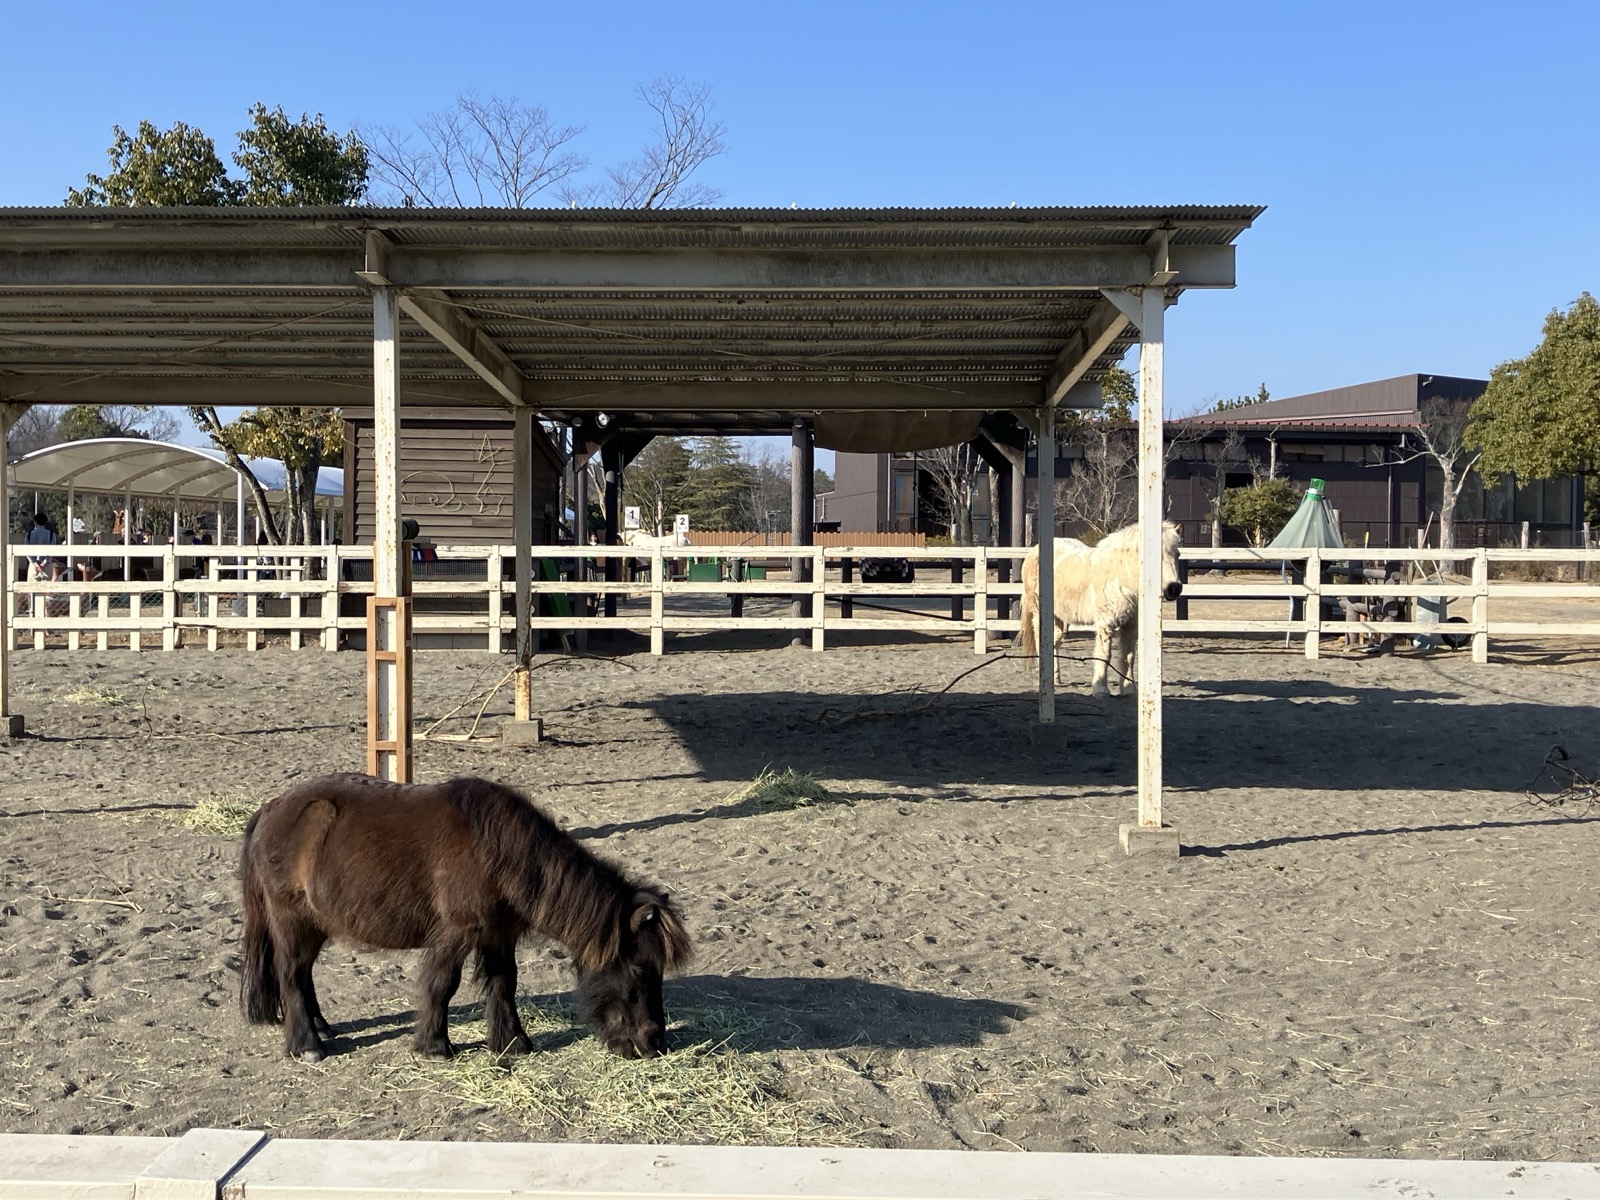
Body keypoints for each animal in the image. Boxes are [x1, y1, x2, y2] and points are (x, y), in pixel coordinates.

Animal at [239, 773, 692, 1064]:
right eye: (639, 969)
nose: (653, 1043)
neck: (497, 851)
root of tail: (270, 810)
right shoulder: (458, 934)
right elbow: (443, 985)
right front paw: (435, 1046)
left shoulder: (498, 934)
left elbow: (504, 984)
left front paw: (512, 1043)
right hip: (293, 922)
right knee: (291, 977)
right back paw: (307, 1045)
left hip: (314, 925)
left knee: (304, 976)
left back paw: (321, 1027)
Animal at [1013, 521, 1183, 697]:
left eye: (1177, 554)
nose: (1174, 588)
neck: (1119, 575)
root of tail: (1033, 552)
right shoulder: (1106, 622)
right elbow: (1104, 655)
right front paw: (1101, 690)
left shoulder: (1130, 625)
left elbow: (1128, 656)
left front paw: (1129, 689)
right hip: (1038, 612)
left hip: (1059, 618)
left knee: (1054, 642)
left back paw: (1055, 679)